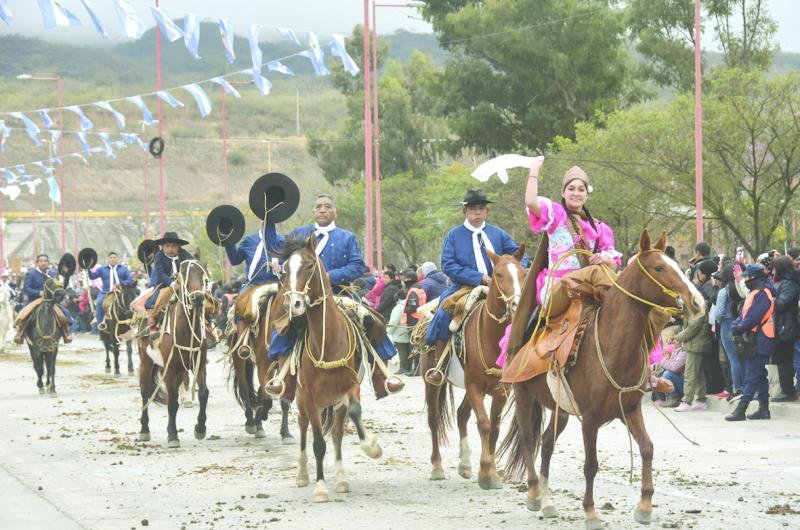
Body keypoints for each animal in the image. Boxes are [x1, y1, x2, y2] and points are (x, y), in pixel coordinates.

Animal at [138, 260, 212, 446]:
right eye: (183, 275)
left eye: (203, 275)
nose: (198, 298)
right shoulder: (170, 369)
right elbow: (172, 402)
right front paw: (172, 434)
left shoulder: (199, 364)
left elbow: (203, 393)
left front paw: (200, 428)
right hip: (146, 362)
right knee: (145, 392)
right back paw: (144, 430)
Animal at [280, 237, 382, 502]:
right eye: (285, 269)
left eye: (309, 265)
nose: (293, 304)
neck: (327, 343)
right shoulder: (310, 397)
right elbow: (317, 443)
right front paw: (320, 487)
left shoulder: (350, 387)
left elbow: (353, 415)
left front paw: (372, 447)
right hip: (302, 400)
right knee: (303, 428)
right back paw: (303, 474)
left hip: (335, 404)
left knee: (336, 435)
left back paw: (341, 478)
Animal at [422, 248, 528, 486]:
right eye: (498, 274)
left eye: (523, 273)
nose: (516, 306)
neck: (492, 337)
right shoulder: (474, 386)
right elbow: (484, 424)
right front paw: (486, 471)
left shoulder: (501, 391)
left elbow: (494, 428)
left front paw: (492, 472)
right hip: (433, 382)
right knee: (434, 419)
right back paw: (436, 467)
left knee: (462, 414)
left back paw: (465, 465)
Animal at [500, 230, 708, 528]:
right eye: (659, 268)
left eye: (678, 265)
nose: (698, 303)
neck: (614, 348)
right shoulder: (590, 419)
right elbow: (591, 465)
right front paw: (590, 512)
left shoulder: (630, 409)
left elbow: (647, 448)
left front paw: (645, 506)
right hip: (523, 396)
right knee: (530, 441)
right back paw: (534, 494)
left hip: (560, 409)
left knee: (547, 444)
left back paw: (549, 502)